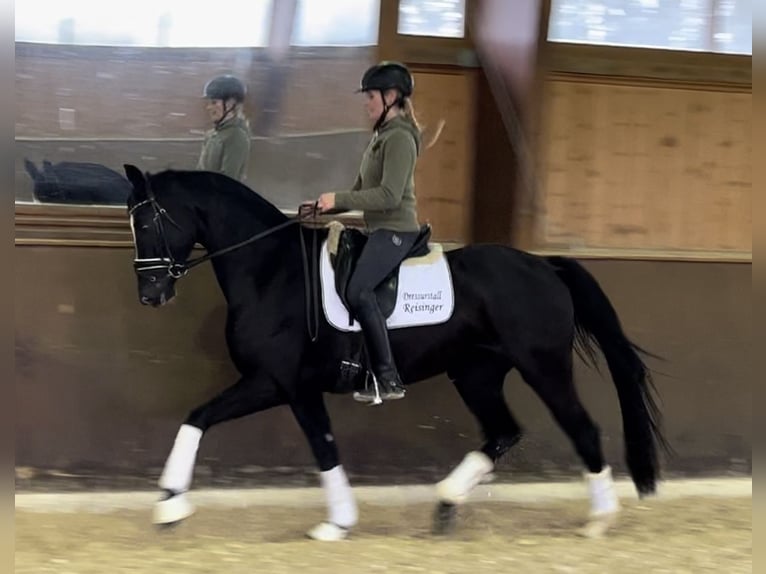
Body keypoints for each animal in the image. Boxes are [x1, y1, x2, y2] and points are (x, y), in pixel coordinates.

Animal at [124, 164, 664, 544]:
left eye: (148, 220)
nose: (150, 295)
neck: (272, 272)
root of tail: (544, 266)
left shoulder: (279, 383)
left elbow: (234, 425)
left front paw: (171, 503)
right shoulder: (289, 388)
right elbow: (217, 423)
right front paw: (172, 502)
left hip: (543, 367)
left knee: (581, 429)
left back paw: (599, 519)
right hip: (476, 372)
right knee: (503, 432)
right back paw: (446, 504)